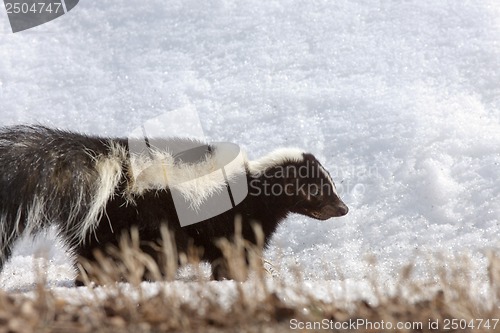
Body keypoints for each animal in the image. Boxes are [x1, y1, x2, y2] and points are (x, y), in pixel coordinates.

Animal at [0, 124, 350, 280]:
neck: (256, 184)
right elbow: (235, 252)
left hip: (100, 222)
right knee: (147, 254)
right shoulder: (236, 221)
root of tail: (112, 164)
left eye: (331, 185)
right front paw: (239, 278)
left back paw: (92, 282)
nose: (343, 208)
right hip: (144, 219)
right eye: (318, 191)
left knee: (93, 255)